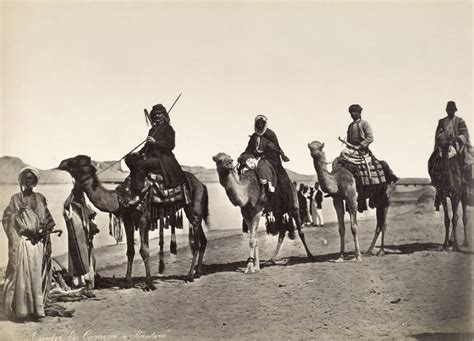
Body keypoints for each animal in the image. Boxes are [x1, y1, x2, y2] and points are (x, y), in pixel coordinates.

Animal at [57, 155, 209, 288]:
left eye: (76, 162)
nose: (62, 163)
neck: (119, 199)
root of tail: (202, 184)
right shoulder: (128, 221)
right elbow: (130, 251)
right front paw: (128, 282)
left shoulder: (142, 219)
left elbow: (144, 250)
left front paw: (149, 284)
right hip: (195, 213)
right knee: (203, 239)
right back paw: (197, 272)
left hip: (193, 209)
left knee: (196, 243)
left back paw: (189, 276)